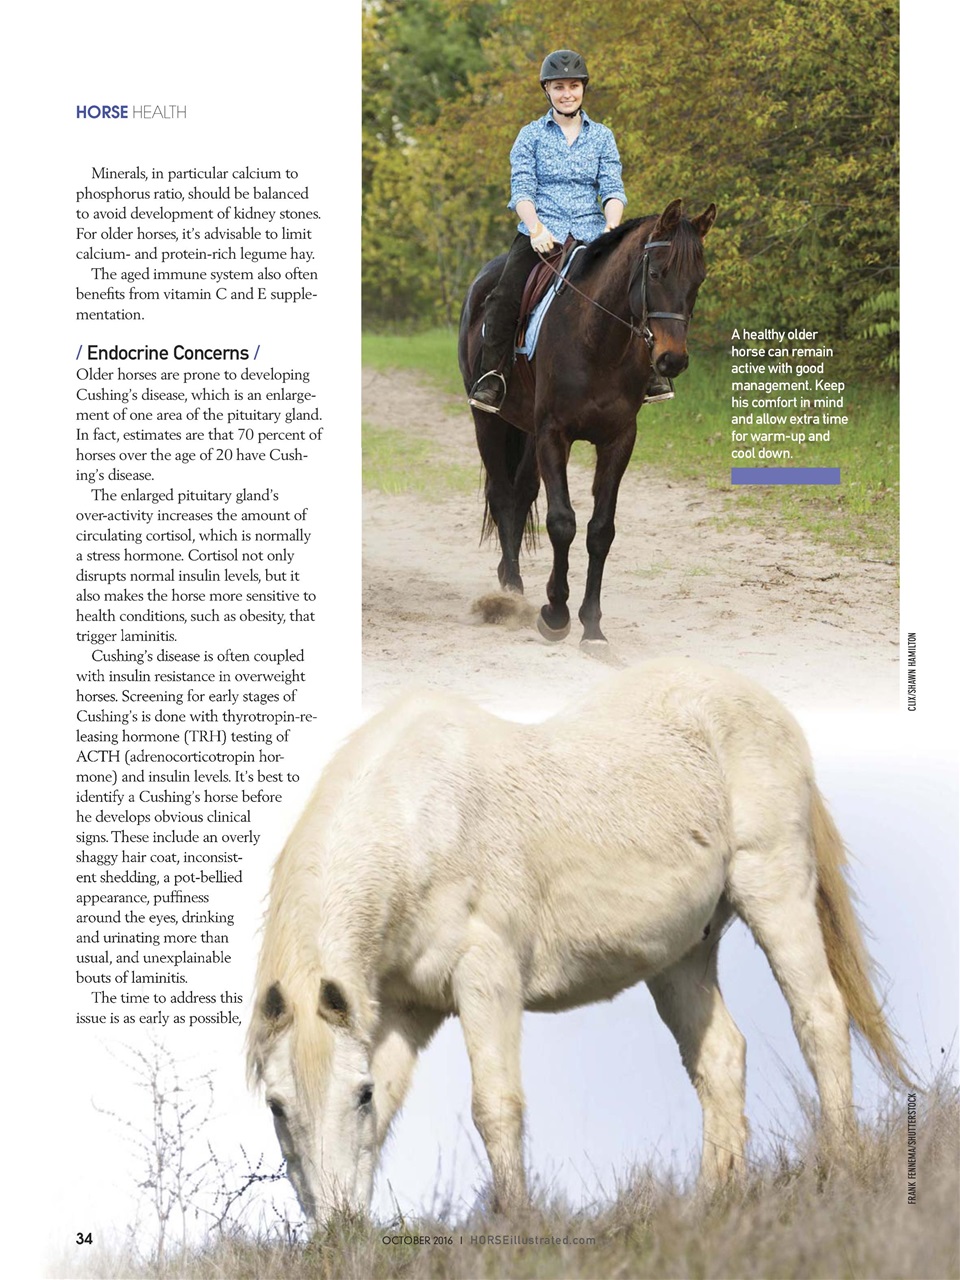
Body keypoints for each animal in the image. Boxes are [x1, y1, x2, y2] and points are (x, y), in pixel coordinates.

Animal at [246, 658, 909, 1223]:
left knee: (820, 1017)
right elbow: (390, 1115)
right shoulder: (406, 1009)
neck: (422, 823)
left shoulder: (486, 980)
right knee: (720, 1057)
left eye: (353, 1096)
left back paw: (839, 1168)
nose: (338, 1229)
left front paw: (515, 1224)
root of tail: (761, 701)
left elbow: (494, 1106)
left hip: (774, 891)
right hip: (681, 953)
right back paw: (712, 1203)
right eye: (276, 1107)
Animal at [458, 199, 716, 646]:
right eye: (655, 273)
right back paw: (511, 593)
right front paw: (556, 615)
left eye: (697, 279)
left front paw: (592, 625)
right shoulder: (554, 435)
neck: (598, 341)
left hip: (526, 430)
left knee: (521, 494)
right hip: (488, 422)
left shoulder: (618, 440)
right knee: (503, 495)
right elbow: (562, 522)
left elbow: (600, 530)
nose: (672, 360)